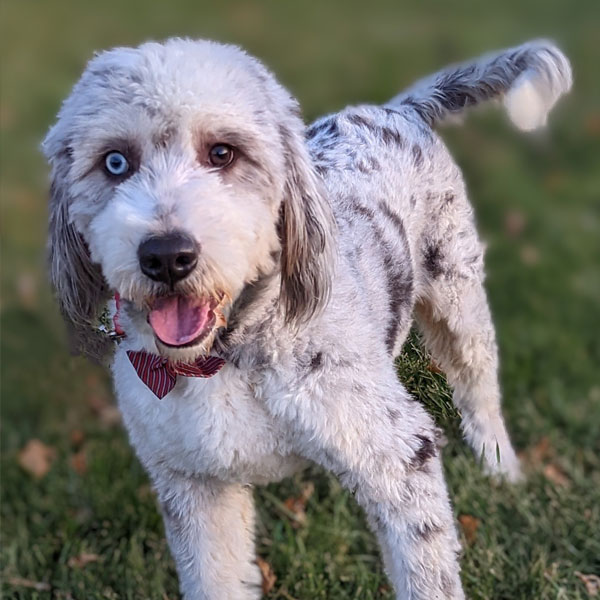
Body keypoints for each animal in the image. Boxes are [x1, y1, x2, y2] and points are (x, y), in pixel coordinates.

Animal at [43, 38, 572, 600]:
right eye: (114, 161)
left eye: (222, 152)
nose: (166, 256)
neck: (222, 358)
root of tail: (401, 108)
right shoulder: (195, 484)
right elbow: (216, 577)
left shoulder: (401, 456)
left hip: (459, 303)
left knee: (480, 392)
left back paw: (501, 468)